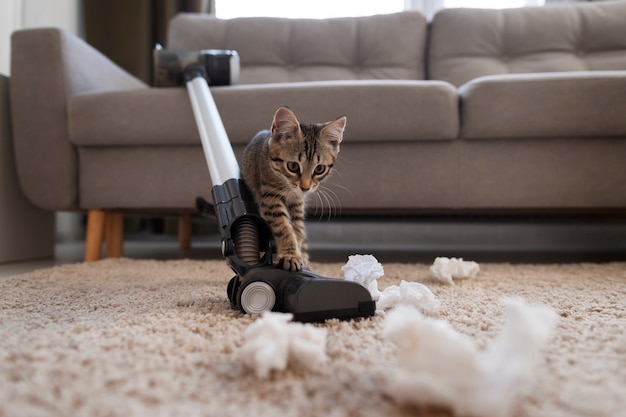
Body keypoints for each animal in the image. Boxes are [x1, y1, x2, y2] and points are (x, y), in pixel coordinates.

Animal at [240, 105, 346, 272]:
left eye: (319, 169)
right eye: (293, 166)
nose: (305, 187)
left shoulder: (298, 203)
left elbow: (298, 229)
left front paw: (298, 254)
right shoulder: (270, 197)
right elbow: (283, 226)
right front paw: (290, 255)